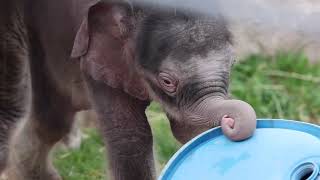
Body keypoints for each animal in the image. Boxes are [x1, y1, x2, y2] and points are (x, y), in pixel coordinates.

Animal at [0, 0, 255, 179]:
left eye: (232, 63)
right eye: (167, 81)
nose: (230, 121)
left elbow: (191, 131)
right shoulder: (100, 52)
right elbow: (130, 138)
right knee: (47, 116)